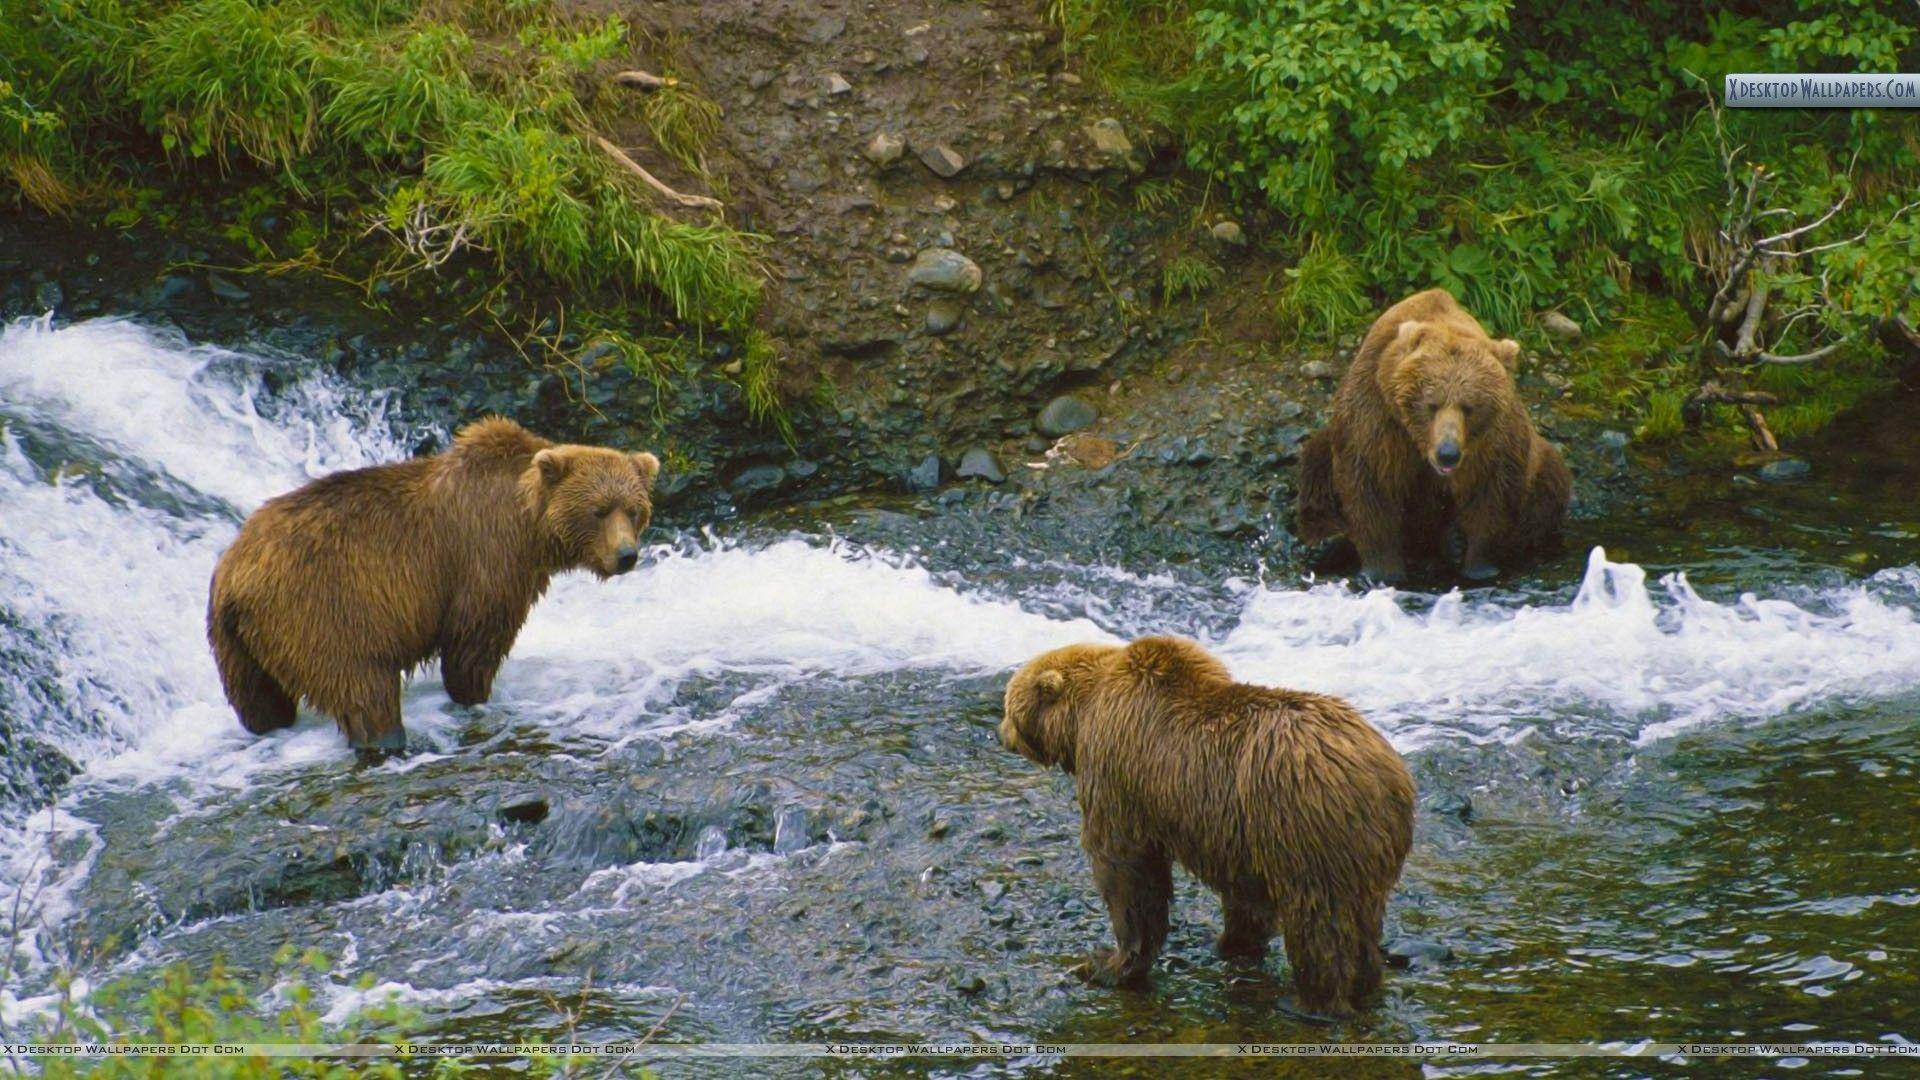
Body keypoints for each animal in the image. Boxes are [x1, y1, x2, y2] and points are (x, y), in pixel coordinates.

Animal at [209, 417, 660, 753]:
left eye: (634, 509)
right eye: (599, 510)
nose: (626, 556)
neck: (529, 525)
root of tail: (235, 574)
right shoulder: (486, 558)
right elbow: (473, 640)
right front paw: (474, 695)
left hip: (237, 644)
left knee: (260, 702)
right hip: (321, 610)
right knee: (363, 686)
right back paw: (385, 739)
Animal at [1006, 634, 1413, 1014]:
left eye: (1008, 708)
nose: (1002, 733)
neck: (1084, 716)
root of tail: (1382, 774)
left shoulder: (1117, 773)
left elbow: (1127, 869)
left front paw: (1108, 962)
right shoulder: (1240, 833)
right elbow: (1245, 893)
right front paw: (1234, 942)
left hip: (1303, 827)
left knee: (1319, 922)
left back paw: (1312, 1001)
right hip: (1362, 848)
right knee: (1363, 918)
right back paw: (1364, 984)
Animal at [1290, 288, 1574, 580]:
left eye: (1469, 407)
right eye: (1432, 404)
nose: (1447, 453)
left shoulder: (1493, 439)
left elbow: (1493, 490)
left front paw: (1479, 566)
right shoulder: (1378, 416)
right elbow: (1372, 482)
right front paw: (1382, 571)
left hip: (1541, 463)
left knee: (1549, 487)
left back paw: (1454, 542)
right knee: (1316, 461)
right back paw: (1327, 539)